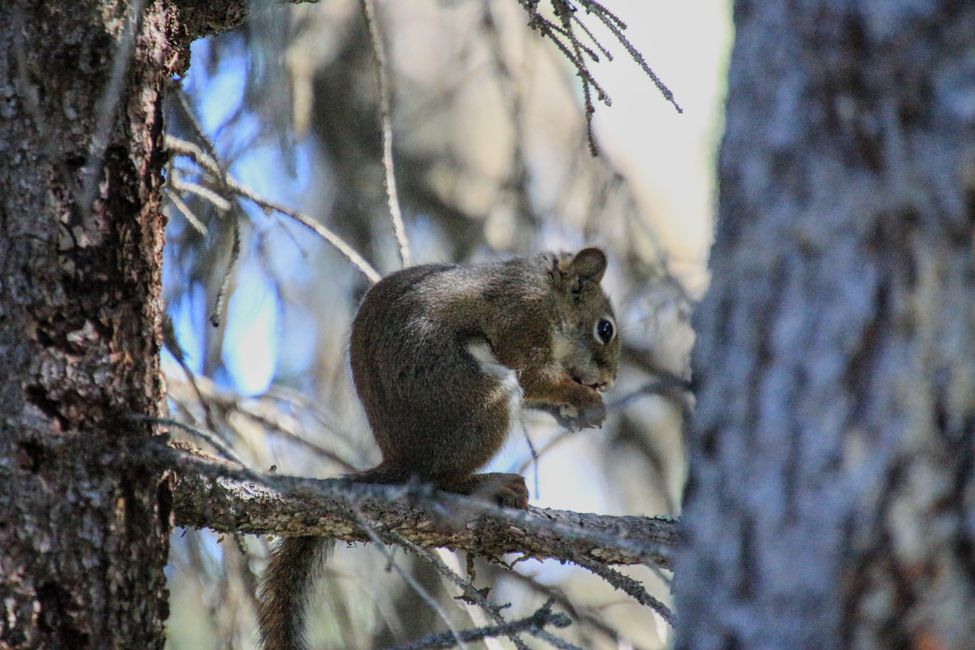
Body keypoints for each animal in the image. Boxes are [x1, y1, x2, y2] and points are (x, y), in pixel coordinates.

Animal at [258, 247, 616, 648]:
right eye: (605, 329)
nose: (608, 380)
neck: (546, 291)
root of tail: (403, 460)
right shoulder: (522, 319)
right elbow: (533, 375)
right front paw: (583, 398)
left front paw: (576, 413)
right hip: (482, 398)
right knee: (441, 479)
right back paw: (490, 484)